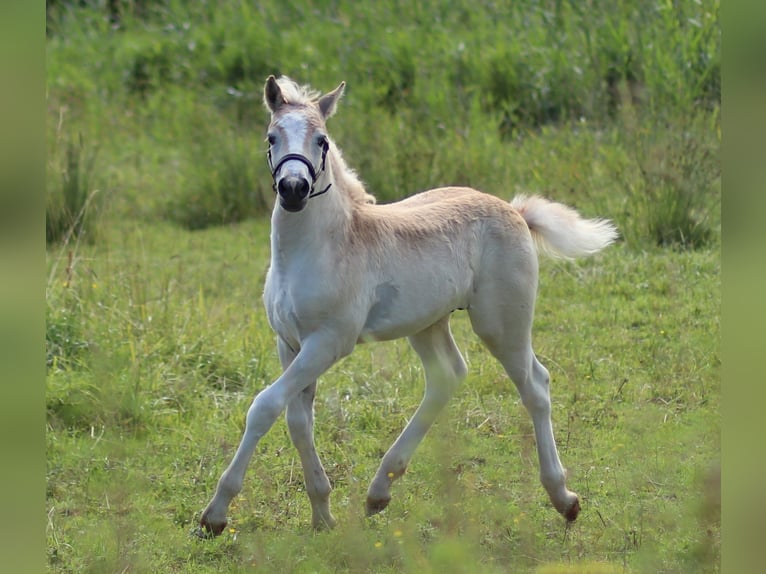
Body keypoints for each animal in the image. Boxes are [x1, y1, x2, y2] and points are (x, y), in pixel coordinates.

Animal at [200, 76, 616, 540]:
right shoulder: (288, 343)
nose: (293, 190)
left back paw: (564, 499)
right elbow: (298, 422)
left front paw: (215, 514)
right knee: (448, 375)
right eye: (271, 137)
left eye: (322, 141)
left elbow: (265, 406)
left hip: (501, 324)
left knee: (535, 386)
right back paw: (379, 491)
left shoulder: (329, 342)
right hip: (428, 323)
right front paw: (322, 513)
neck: (320, 247)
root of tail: (514, 209)